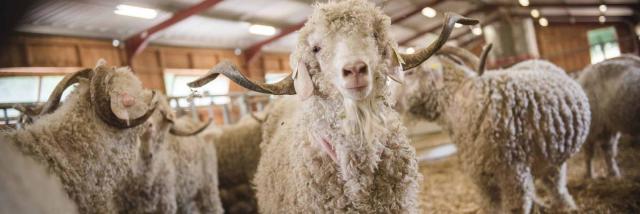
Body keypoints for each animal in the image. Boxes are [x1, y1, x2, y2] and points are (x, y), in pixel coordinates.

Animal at [392, 46, 592, 213]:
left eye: (410, 72)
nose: (393, 104)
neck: (463, 101)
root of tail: (539, 61)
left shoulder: (513, 172)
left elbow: (516, 208)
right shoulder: (481, 177)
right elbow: (490, 207)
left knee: (556, 185)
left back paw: (568, 207)